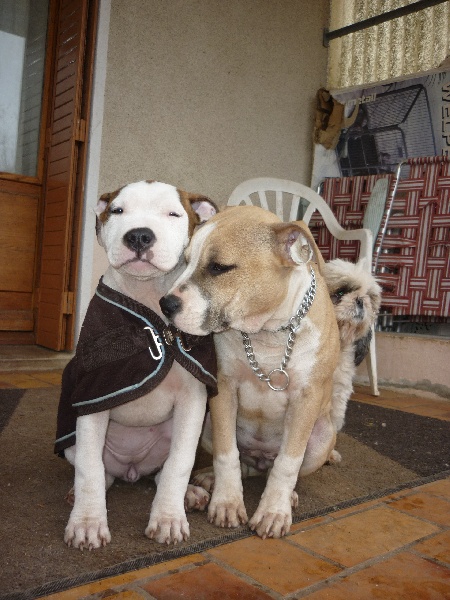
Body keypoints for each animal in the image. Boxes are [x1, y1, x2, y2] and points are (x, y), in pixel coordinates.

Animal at [55, 182, 217, 548]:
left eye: (173, 214)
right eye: (117, 211)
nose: (139, 236)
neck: (147, 298)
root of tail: (132, 469)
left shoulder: (194, 400)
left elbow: (180, 463)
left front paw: (169, 518)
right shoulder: (94, 397)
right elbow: (88, 468)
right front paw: (87, 523)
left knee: (162, 470)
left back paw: (189, 495)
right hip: (72, 440)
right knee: (99, 472)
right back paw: (78, 495)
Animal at [160, 206, 340, 540]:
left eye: (219, 267)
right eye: (185, 261)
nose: (166, 304)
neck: (269, 331)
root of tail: (259, 458)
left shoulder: (306, 398)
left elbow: (288, 463)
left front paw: (273, 511)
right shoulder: (223, 388)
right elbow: (226, 453)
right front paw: (227, 502)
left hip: (322, 437)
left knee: (280, 466)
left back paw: (288, 495)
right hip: (208, 425)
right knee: (242, 461)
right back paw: (212, 478)